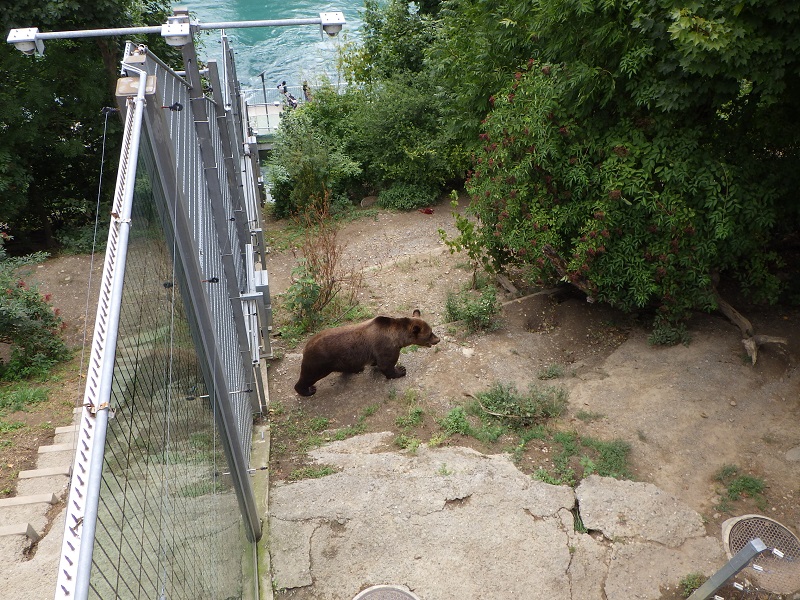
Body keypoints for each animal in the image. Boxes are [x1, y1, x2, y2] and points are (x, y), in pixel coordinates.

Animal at [296, 310, 440, 398]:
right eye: (429, 334)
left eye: (432, 331)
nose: (438, 339)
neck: (398, 337)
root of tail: (306, 346)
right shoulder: (386, 347)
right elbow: (386, 365)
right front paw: (401, 370)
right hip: (320, 361)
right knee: (308, 376)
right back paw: (308, 390)